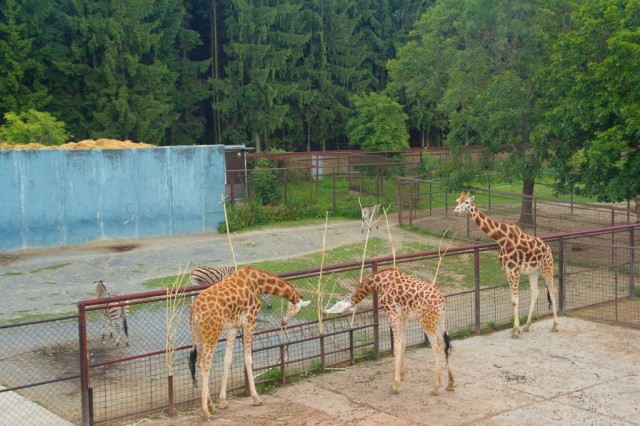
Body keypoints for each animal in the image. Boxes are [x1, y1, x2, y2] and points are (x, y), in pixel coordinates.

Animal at [189, 266, 312, 420]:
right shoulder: (250, 320)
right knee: (205, 364)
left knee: (199, 364)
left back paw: (211, 406)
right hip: (212, 332)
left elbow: (227, 360)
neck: (259, 283)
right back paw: (206, 411)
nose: (284, 321)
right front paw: (256, 398)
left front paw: (223, 402)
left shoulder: (234, 326)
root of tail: (194, 312)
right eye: (297, 309)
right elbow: (248, 360)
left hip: (199, 336)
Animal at [322, 268, 452, 394]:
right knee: (445, 345)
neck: (379, 282)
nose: (324, 312)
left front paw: (395, 385)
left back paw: (436, 388)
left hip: (427, 322)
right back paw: (450, 384)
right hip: (440, 322)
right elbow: (403, 344)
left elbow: (397, 347)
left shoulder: (392, 313)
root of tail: (442, 303)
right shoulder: (403, 317)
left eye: (336, 306)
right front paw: (402, 374)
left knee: (437, 347)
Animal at [452, 191, 556, 338]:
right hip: (533, 271)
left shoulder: (514, 270)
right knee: (535, 292)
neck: (501, 239)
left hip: (547, 266)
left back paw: (555, 325)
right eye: (458, 201)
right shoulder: (506, 270)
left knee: (552, 290)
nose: (455, 211)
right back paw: (527, 326)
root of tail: (548, 247)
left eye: (467, 202)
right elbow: (512, 299)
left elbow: (515, 299)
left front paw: (516, 331)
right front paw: (516, 329)